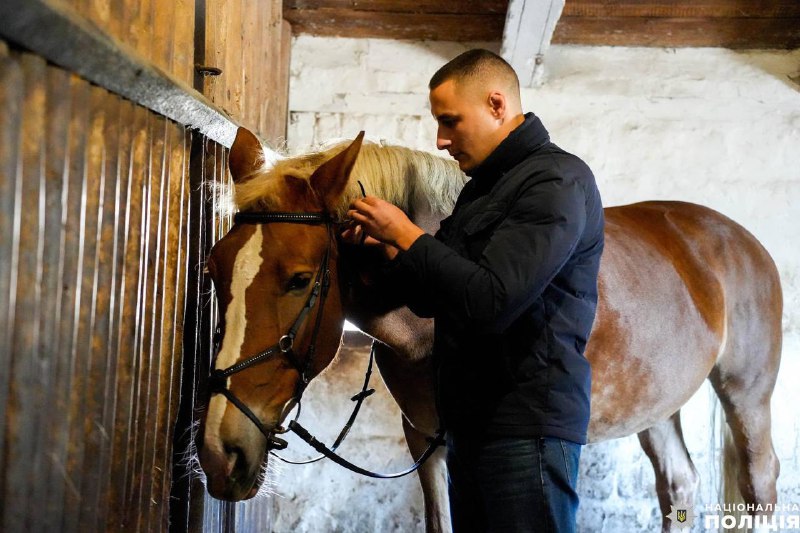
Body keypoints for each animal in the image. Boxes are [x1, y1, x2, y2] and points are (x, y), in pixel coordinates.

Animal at [198, 127, 780, 528]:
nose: (219, 452)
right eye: (213, 270)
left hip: (746, 396)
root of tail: (738, 238)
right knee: (679, 485)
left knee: (759, 485)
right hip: (655, 406)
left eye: (299, 280)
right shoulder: (427, 440)